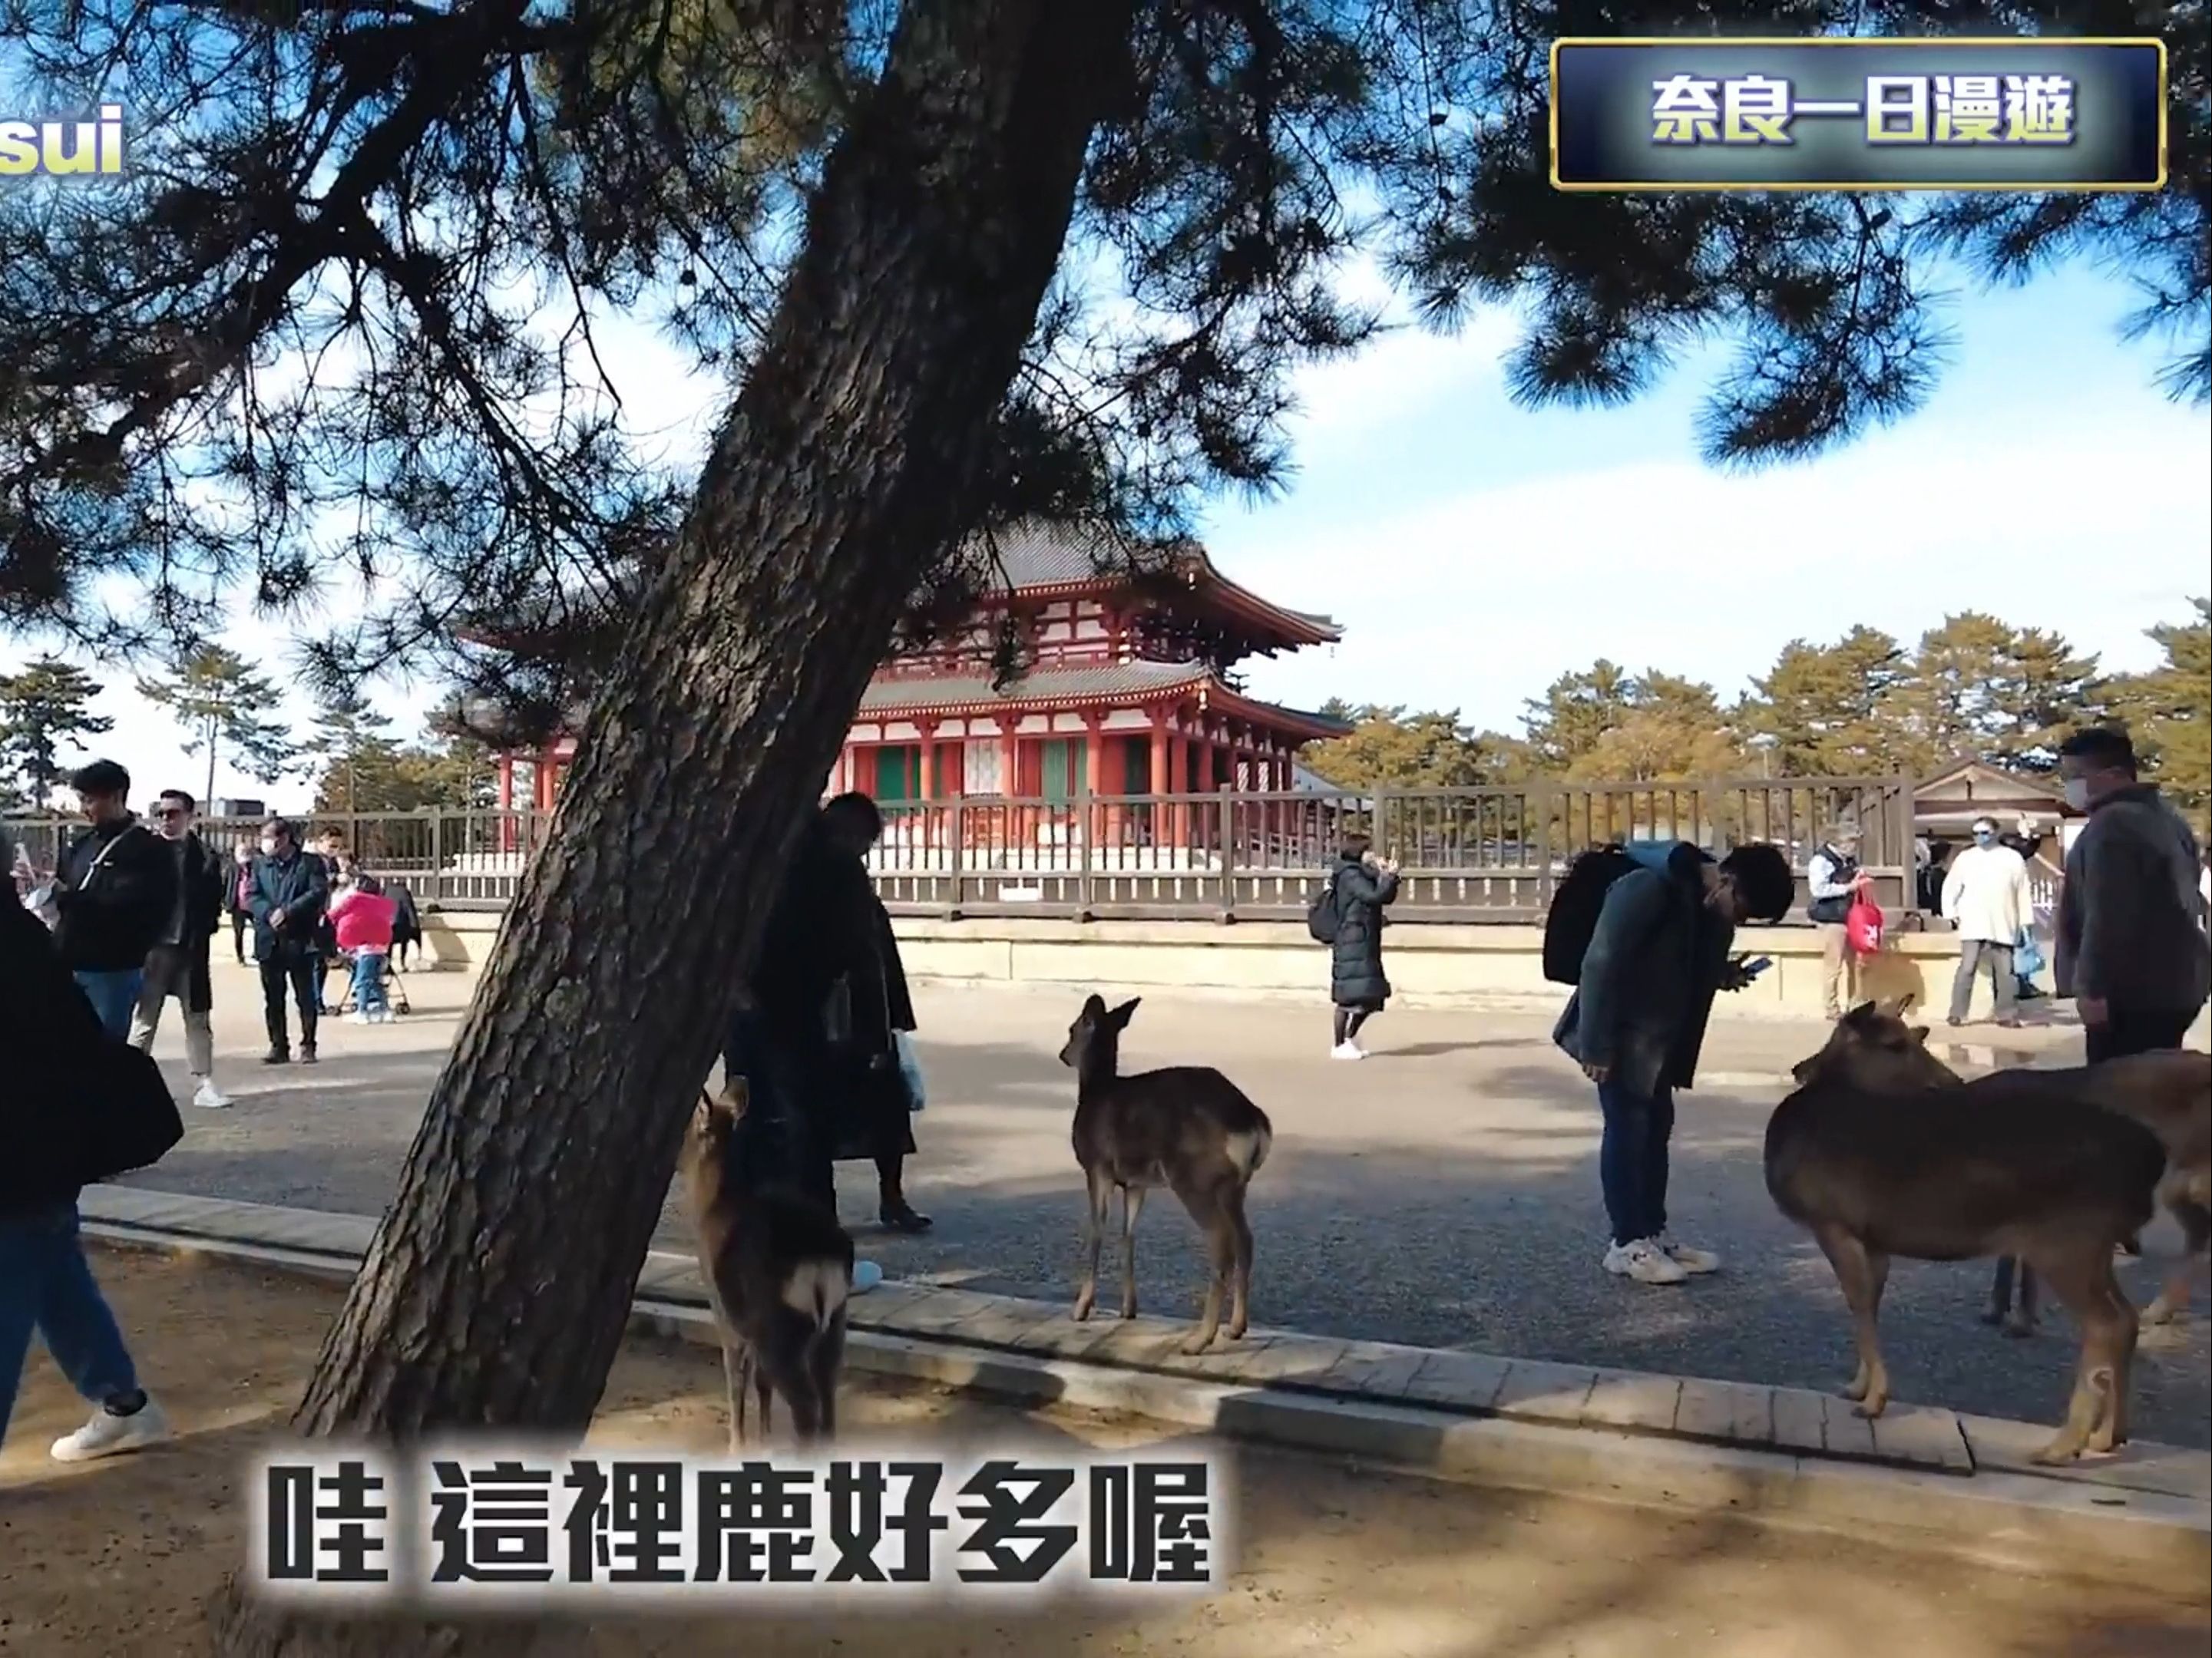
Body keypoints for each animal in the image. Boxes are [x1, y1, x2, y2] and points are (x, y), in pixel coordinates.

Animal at [672, 1083, 854, 1450]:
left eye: (686, 1126)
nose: (674, 1156)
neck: (711, 1209)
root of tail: (819, 1261)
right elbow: (761, 1383)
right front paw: (764, 1436)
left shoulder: (726, 1315)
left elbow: (737, 1381)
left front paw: (736, 1444)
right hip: (834, 1323)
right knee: (827, 1397)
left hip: (780, 1327)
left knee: (806, 1404)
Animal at [1057, 995, 1274, 1352]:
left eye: (1073, 1029)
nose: (1063, 1055)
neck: (1097, 1091)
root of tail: (1253, 1122)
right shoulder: (1136, 1182)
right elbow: (1128, 1234)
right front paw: (1128, 1309)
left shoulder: (1097, 1166)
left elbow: (1097, 1232)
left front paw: (1081, 1308)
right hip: (1235, 1185)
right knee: (1245, 1239)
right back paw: (1235, 1328)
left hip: (1193, 1176)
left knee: (1222, 1242)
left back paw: (1200, 1339)